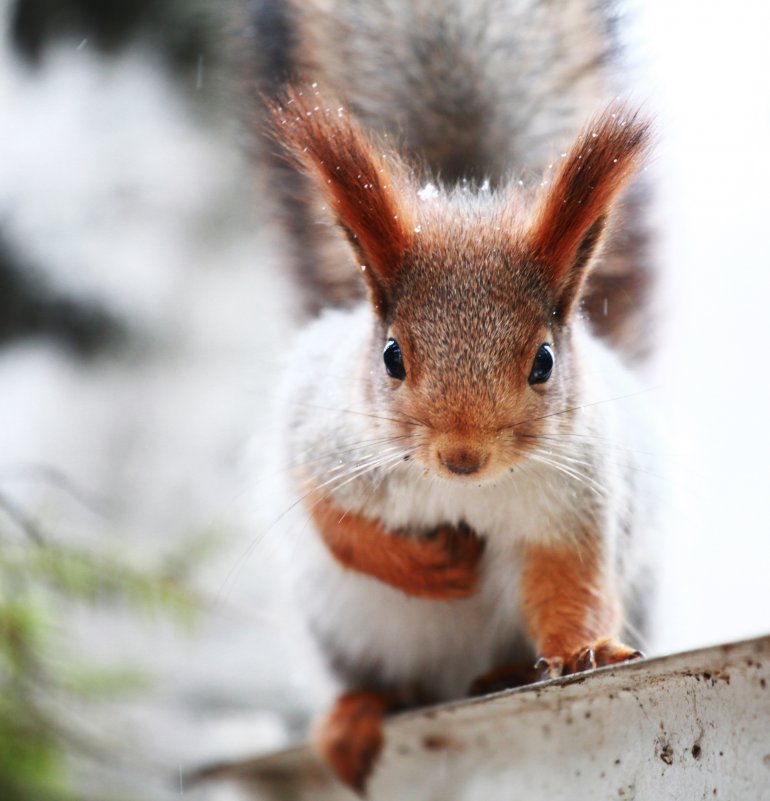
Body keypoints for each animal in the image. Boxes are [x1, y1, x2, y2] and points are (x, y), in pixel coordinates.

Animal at [250, 0, 656, 792]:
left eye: (544, 361)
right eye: (391, 356)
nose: (461, 456)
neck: (469, 493)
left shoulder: (579, 498)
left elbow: (570, 583)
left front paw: (584, 649)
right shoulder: (324, 441)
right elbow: (334, 520)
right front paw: (430, 567)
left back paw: (502, 673)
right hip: (345, 634)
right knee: (384, 681)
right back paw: (361, 711)